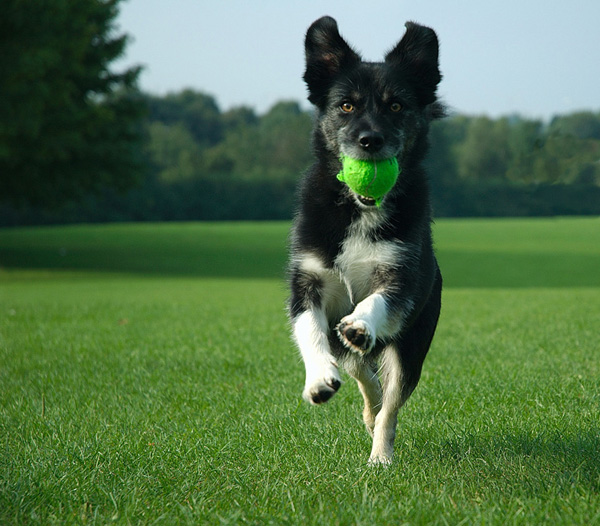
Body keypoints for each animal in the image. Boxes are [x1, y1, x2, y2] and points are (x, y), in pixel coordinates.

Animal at [288, 15, 442, 466]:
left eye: (396, 106)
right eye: (346, 105)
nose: (370, 141)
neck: (360, 209)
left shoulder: (400, 277)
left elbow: (377, 302)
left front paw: (360, 324)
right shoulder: (308, 279)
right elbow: (310, 329)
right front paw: (319, 378)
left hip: (412, 345)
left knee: (390, 402)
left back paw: (380, 455)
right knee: (363, 373)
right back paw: (365, 406)